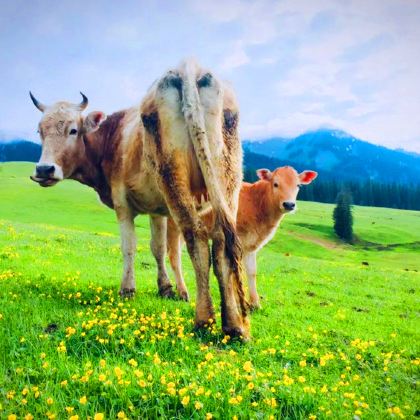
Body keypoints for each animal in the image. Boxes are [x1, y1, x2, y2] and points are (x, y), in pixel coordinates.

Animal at [31, 60, 251, 338]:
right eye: (40, 131)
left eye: (73, 130)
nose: (44, 169)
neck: (112, 139)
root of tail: (188, 67)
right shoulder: (158, 209)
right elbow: (159, 248)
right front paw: (167, 288)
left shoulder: (123, 204)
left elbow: (130, 246)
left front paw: (128, 289)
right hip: (227, 179)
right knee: (222, 242)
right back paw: (234, 326)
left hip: (174, 178)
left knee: (198, 239)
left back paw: (204, 319)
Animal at [166, 166, 316, 310]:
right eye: (275, 184)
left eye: (298, 185)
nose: (289, 204)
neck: (257, 203)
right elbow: (235, 271)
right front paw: (239, 303)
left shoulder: (251, 245)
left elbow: (251, 272)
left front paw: (255, 303)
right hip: (173, 224)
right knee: (174, 257)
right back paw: (183, 292)